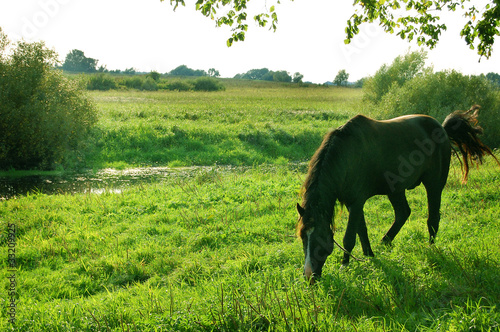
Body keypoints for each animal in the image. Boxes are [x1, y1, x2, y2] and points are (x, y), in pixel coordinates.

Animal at [294, 105, 498, 282]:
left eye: (320, 238)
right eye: (303, 237)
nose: (309, 276)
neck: (347, 157)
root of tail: (442, 129)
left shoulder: (356, 202)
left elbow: (349, 237)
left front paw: (345, 266)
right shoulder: (356, 204)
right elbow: (362, 231)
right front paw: (370, 255)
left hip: (434, 184)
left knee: (432, 218)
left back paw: (430, 248)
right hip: (397, 190)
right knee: (403, 213)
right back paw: (385, 242)